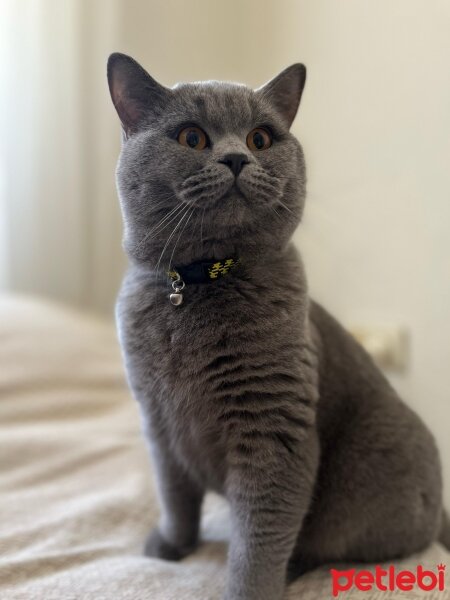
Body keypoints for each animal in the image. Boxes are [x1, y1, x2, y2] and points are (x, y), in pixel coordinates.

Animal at [107, 52, 448, 600]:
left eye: (260, 139)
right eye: (191, 137)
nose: (236, 158)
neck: (201, 282)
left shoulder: (273, 432)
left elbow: (259, 540)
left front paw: (249, 589)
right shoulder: (158, 424)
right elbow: (176, 495)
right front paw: (172, 547)